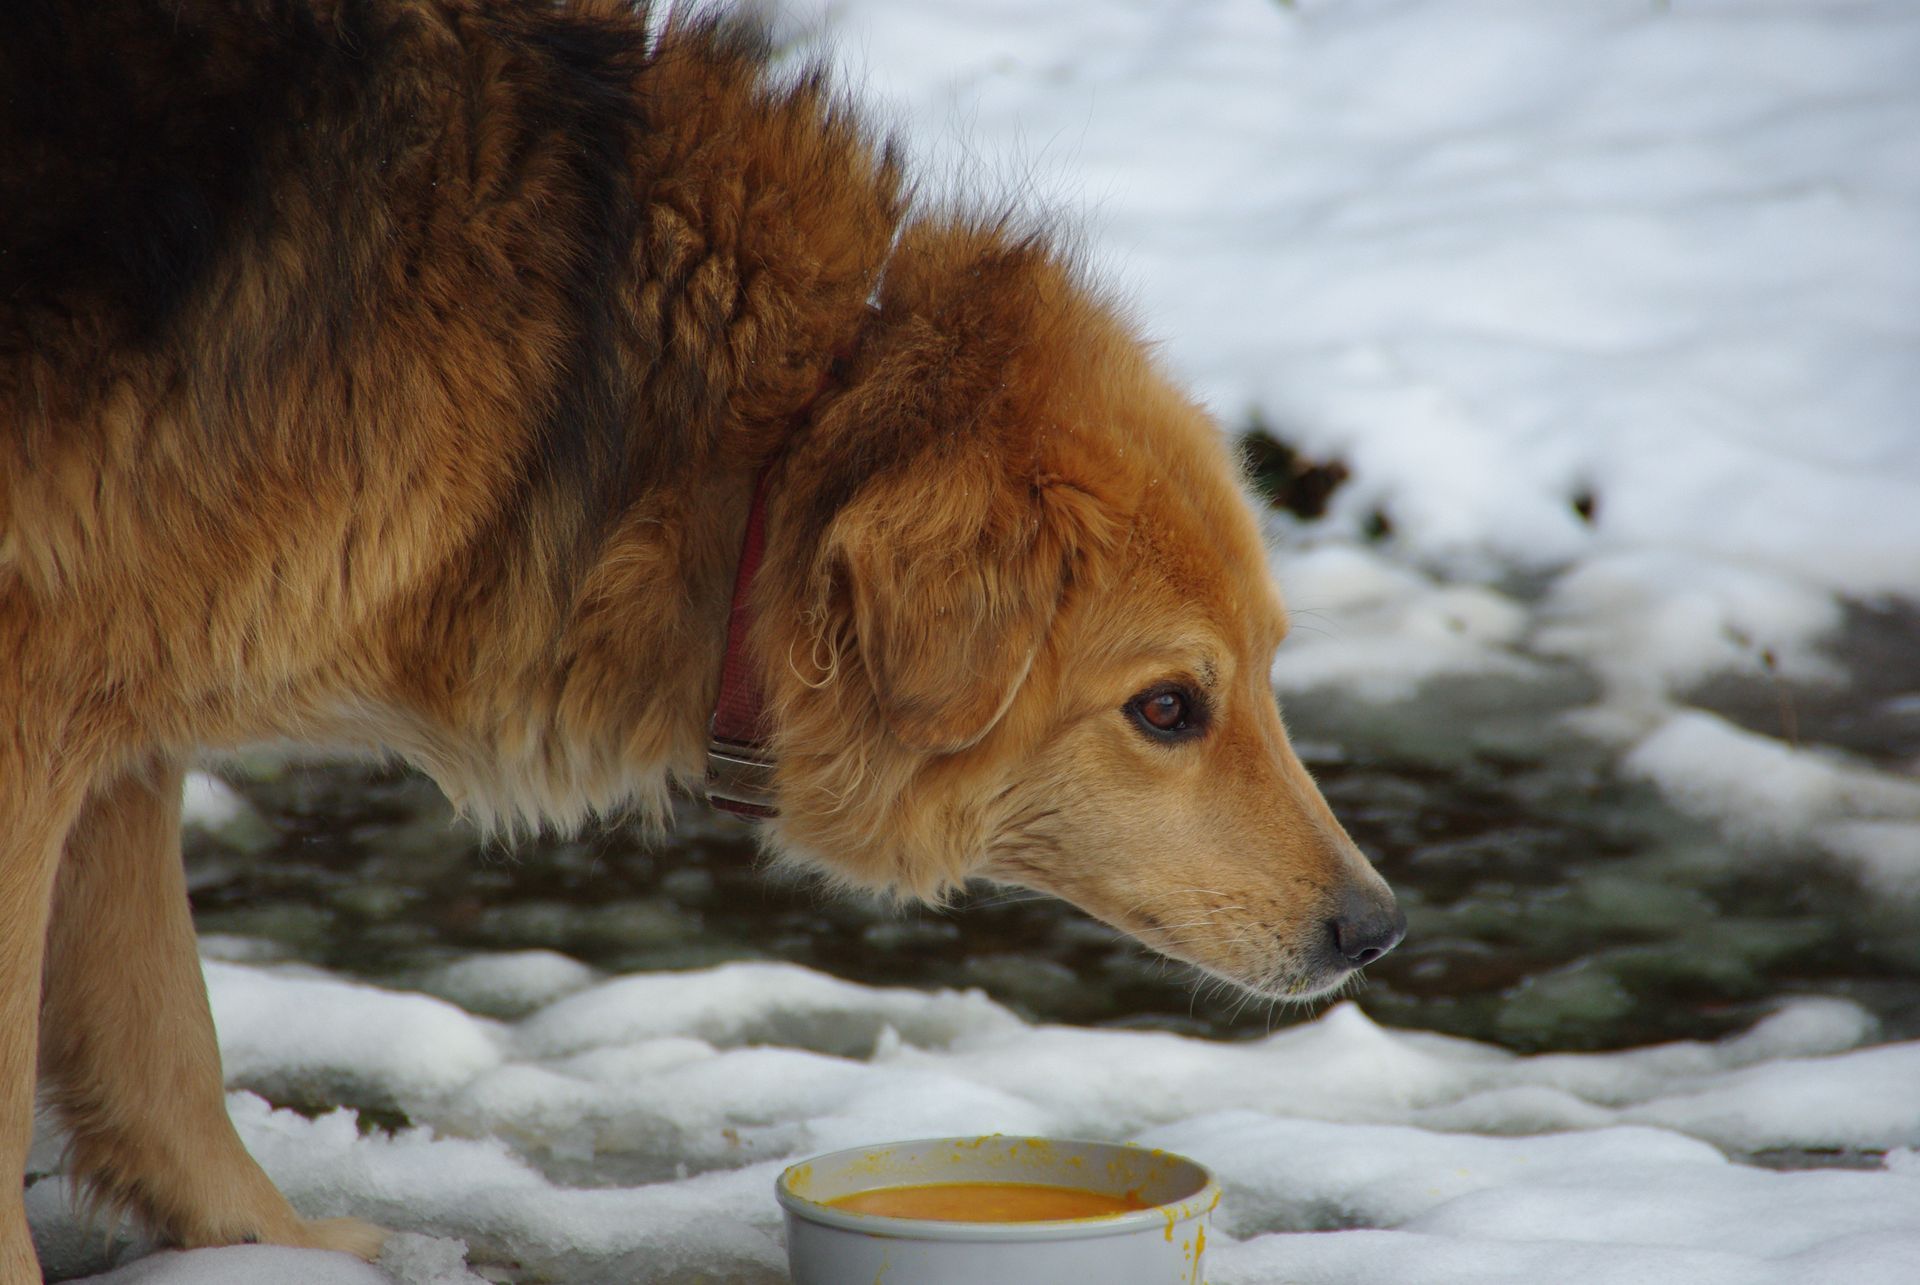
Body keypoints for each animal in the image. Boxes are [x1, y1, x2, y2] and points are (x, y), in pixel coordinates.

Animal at [3, 0, 1413, 1267]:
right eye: (1168, 707)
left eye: (1272, 671)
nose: (1377, 928)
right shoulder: (39, 715)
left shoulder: (119, 717)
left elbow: (159, 1030)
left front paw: (267, 1243)